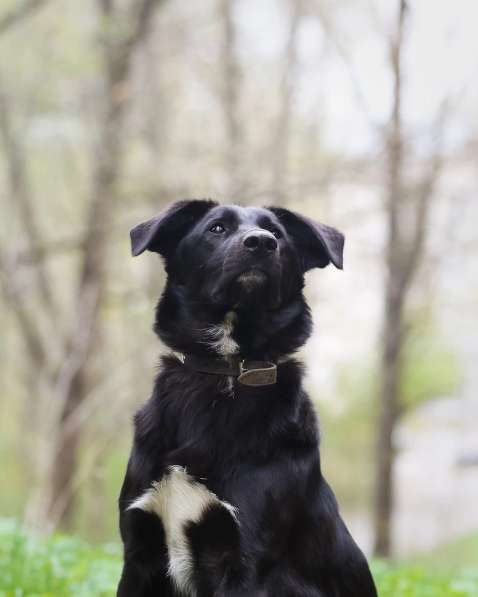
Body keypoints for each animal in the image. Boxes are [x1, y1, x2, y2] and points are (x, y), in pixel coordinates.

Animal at [116, 201, 378, 596]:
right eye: (217, 228)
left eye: (278, 234)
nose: (261, 242)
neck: (227, 370)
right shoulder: (138, 553)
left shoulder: (246, 561)